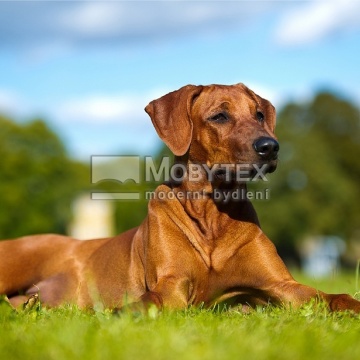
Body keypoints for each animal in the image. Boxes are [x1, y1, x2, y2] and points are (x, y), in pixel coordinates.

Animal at [0, 82, 360, 312]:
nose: (270, 146)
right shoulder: (171, 283)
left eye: (259, 114)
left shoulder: (280, 285)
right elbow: (146, 303)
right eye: (219, 116)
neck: (212, 213)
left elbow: (336, 297)